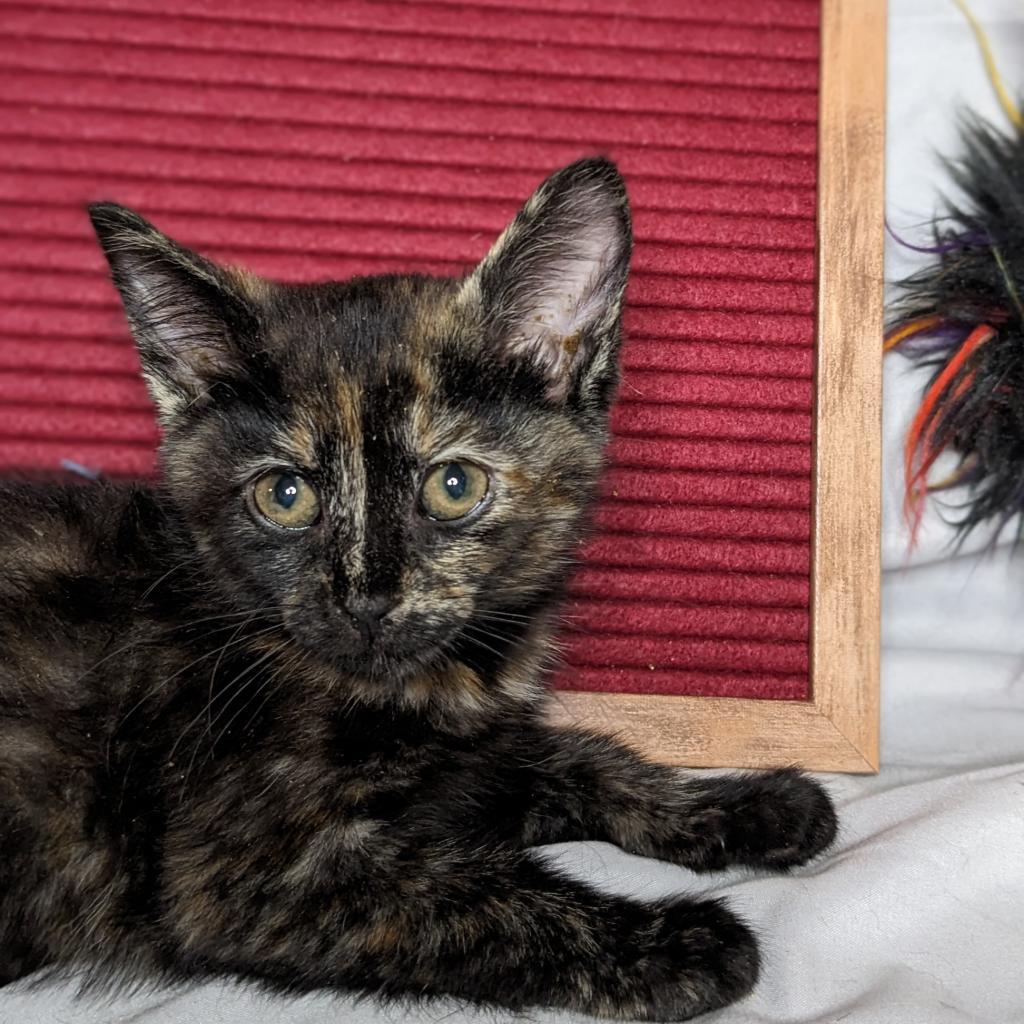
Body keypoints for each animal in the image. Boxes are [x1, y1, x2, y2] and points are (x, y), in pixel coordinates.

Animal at [0, 157, 831, 1015]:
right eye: (284, 496)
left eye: (454, 485)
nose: (366, 600)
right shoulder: (247, 877)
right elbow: (491, 897)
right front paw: (681, 941)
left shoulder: (470, 749)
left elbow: (574, 755)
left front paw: (747, 806)